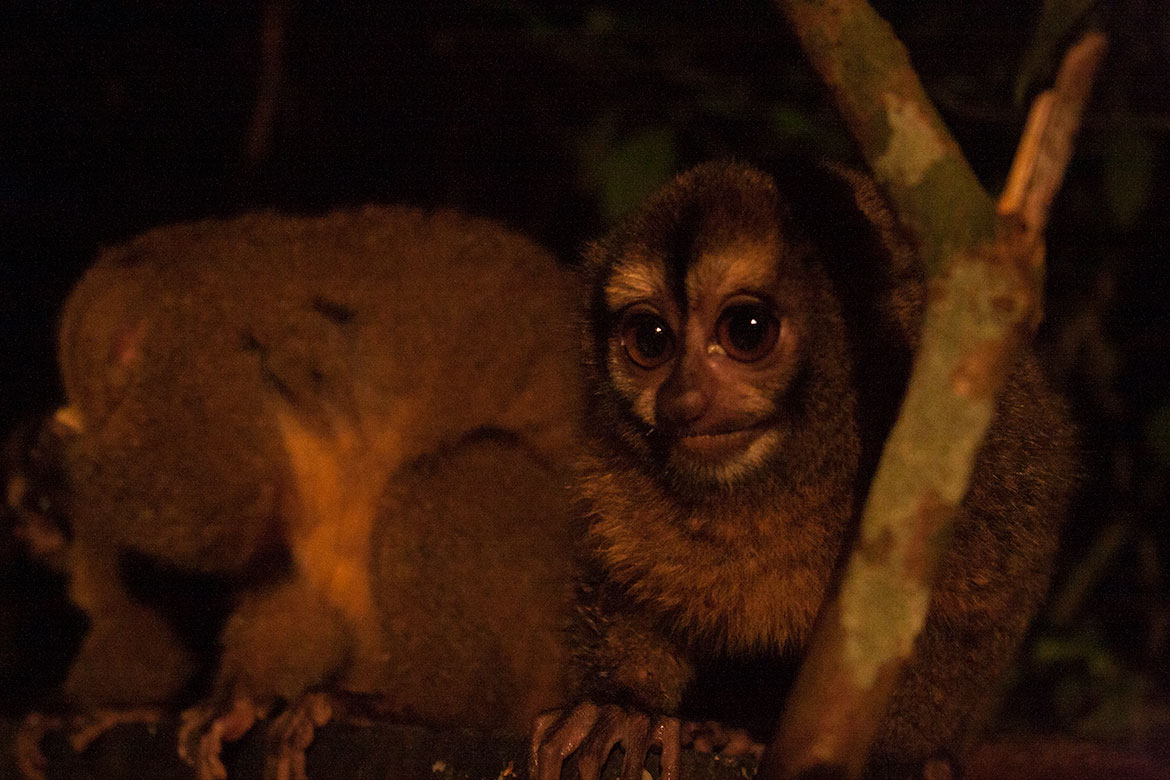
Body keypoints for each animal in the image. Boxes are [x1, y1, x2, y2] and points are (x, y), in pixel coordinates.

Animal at [24, 205, 584, 780]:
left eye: (104, 395)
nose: (92, 419)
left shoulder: (195, 355)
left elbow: (218, 512)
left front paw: (44, 460)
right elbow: (271, 560)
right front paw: (237, 702)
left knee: (453, 473)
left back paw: (432, 708)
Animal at [530, 160, 1077, 780]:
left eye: (747, 329)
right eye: (650, 340)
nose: (681, 402)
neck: (777, 483)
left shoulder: (994, 459)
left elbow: (984, 607)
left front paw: (894, 757)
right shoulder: (611, 476)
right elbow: (621, 586)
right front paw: (624, 708)